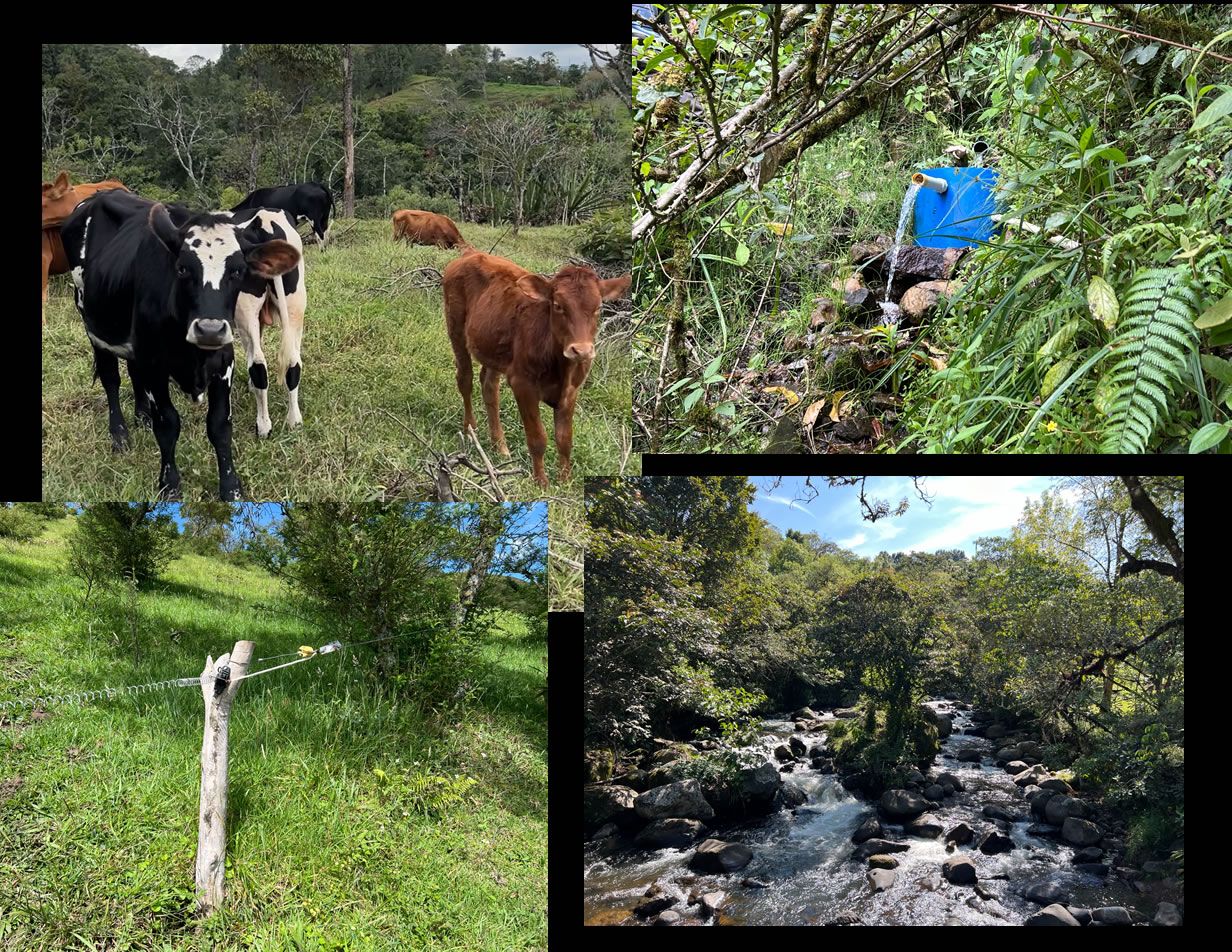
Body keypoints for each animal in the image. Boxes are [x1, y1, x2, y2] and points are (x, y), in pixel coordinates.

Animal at [62, 185, 300, 497]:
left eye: (237, 270)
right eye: (182, 269)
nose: (209, 329)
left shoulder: (223, 363)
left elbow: (219, 425)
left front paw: (231, 487)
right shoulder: (154, 365)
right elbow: (167, 424)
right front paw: (170, 483)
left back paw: (141, 414)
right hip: (93, 327)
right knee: (110, 379)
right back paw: (120, 435)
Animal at [443, 248, 630, 487]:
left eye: (598, 308)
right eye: (558, 305)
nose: (581, 350)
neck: (561, 367)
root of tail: (471, 252)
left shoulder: (572, 391)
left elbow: (565, 440)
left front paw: (565, 481)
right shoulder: (523, 385)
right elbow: (537, 438)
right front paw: (541, 483)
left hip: (495, 348)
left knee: (489, 386)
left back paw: (499, 446)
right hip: (455, 328)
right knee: (465, 378)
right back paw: (470, 430)